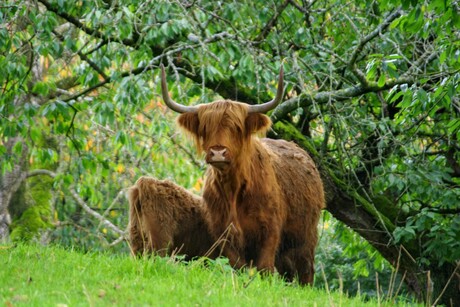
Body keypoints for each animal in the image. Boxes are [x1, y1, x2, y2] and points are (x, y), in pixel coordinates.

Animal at [160, 63, 326, 286]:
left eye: (236, 128)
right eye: (206, 127)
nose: (218, 152)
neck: (234, 189)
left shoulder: (270, 231)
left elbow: (264, 268)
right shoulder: (223, 232)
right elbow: (237, 267)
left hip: (305, 237)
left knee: (305, 271)